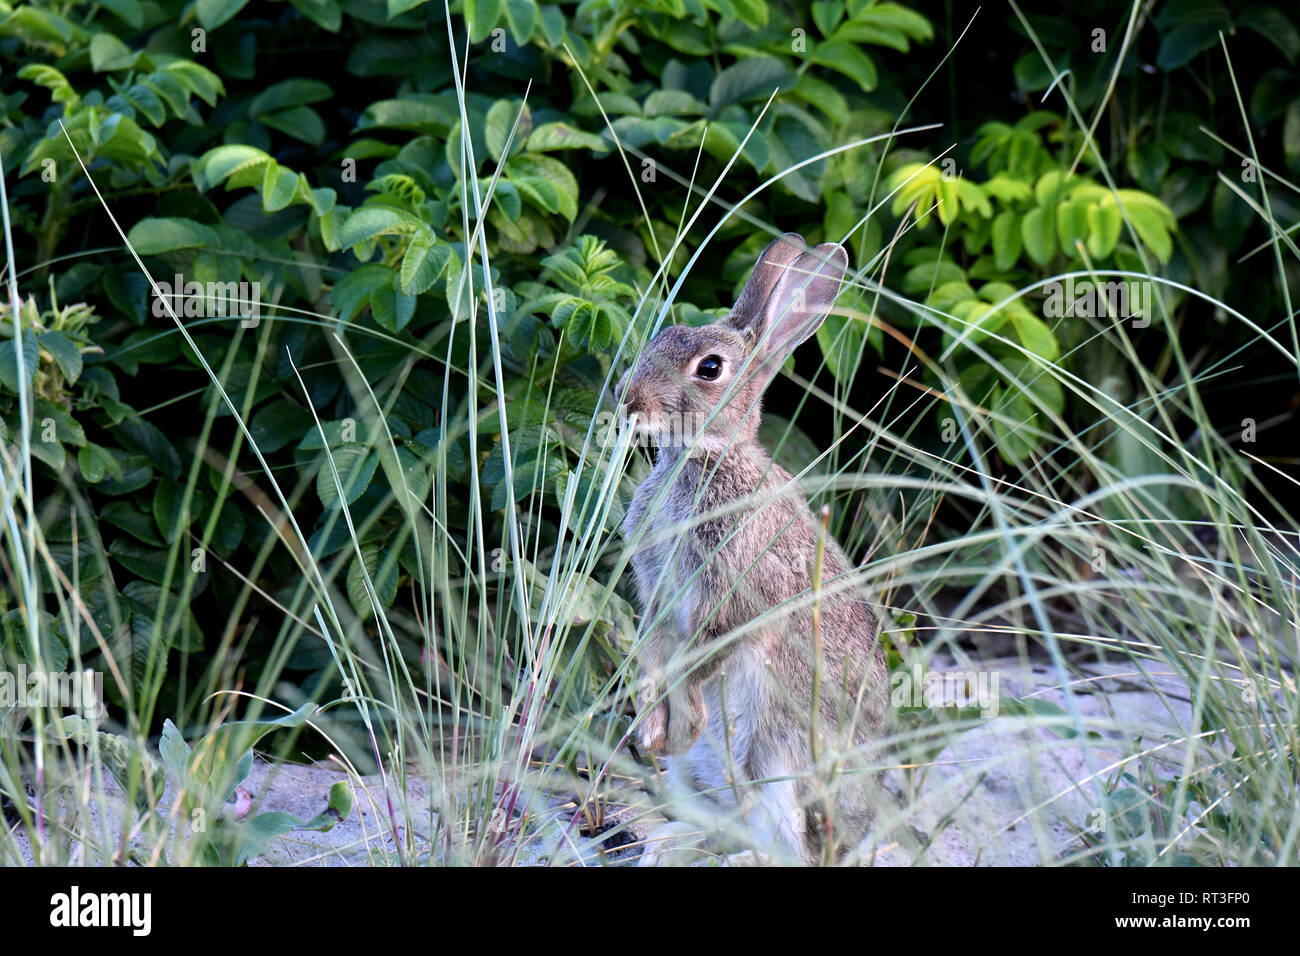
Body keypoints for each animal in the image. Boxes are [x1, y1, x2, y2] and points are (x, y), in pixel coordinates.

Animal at [614, 233, 889, 866]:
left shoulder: (734, 598)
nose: (628, 400)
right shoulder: (656, 593)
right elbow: (652, 648)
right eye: (661, 337)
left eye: (710, 368)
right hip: (699, 775)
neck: (703, 459)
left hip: (780, 761)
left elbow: (701, 655)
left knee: (783, 847)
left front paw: (675, 718)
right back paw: (665, 841)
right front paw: (650, 725)